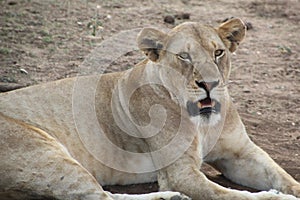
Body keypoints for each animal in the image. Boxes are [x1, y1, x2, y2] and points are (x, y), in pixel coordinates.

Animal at [0, 18, 300, 199]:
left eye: (218, 52)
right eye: (184, 56)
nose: (210, 84)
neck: (202, 123)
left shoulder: (241, 154)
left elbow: (282, 176)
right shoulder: (179, 174)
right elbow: (226, 194)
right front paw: (271, 196)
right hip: (46, 153)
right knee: (100, 196)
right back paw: (171, 196)